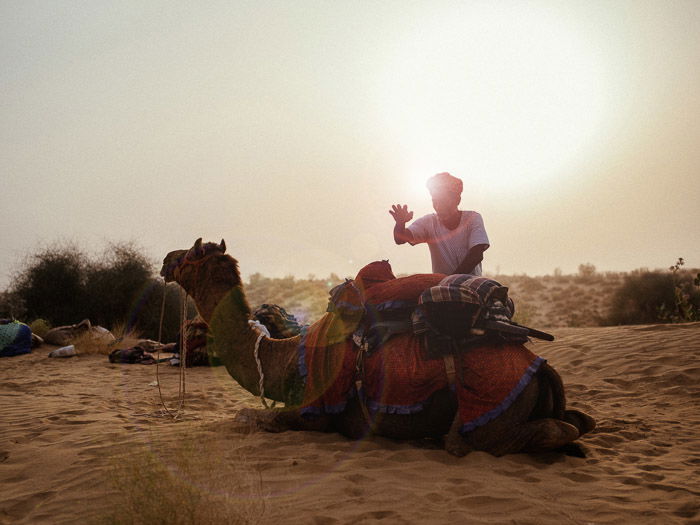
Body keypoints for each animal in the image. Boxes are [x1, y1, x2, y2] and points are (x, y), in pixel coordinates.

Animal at [161, 237, 592, 454]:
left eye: (190, 253)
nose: (165, 259)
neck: (284, 359)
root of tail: (541, 366)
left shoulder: (314, 413)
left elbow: (248, 418)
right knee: (579, 420)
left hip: (491, 410)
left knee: (532, 433)